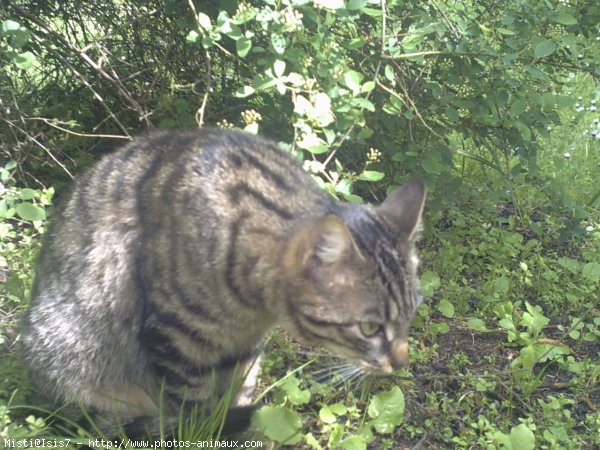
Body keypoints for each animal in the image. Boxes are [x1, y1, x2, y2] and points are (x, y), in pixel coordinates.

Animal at [19, 127, 426, 436]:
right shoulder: (175, 337)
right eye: (370, 328)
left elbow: (235, 391)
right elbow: (194, 410)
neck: (255, 306)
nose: (402, 362)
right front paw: (209, 431)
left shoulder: (243, 346)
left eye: (411, 314)